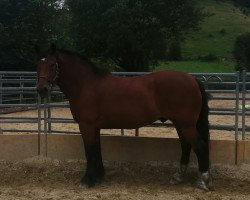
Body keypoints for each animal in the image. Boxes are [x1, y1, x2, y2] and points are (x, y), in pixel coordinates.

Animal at [36, 43, 212, 191]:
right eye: (38, 65)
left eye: (52, 65)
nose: (41, 90)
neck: (86, 84)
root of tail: (192, 79)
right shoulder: (95, 127)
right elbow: (97, 150)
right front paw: (99, 177)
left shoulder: (86, 125)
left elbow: (90, 151)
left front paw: (88, 180)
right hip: (181, 124)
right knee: (186, 146)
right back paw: (178, 177)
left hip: (186, 125)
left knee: (200, 146)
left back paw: (203, 182)